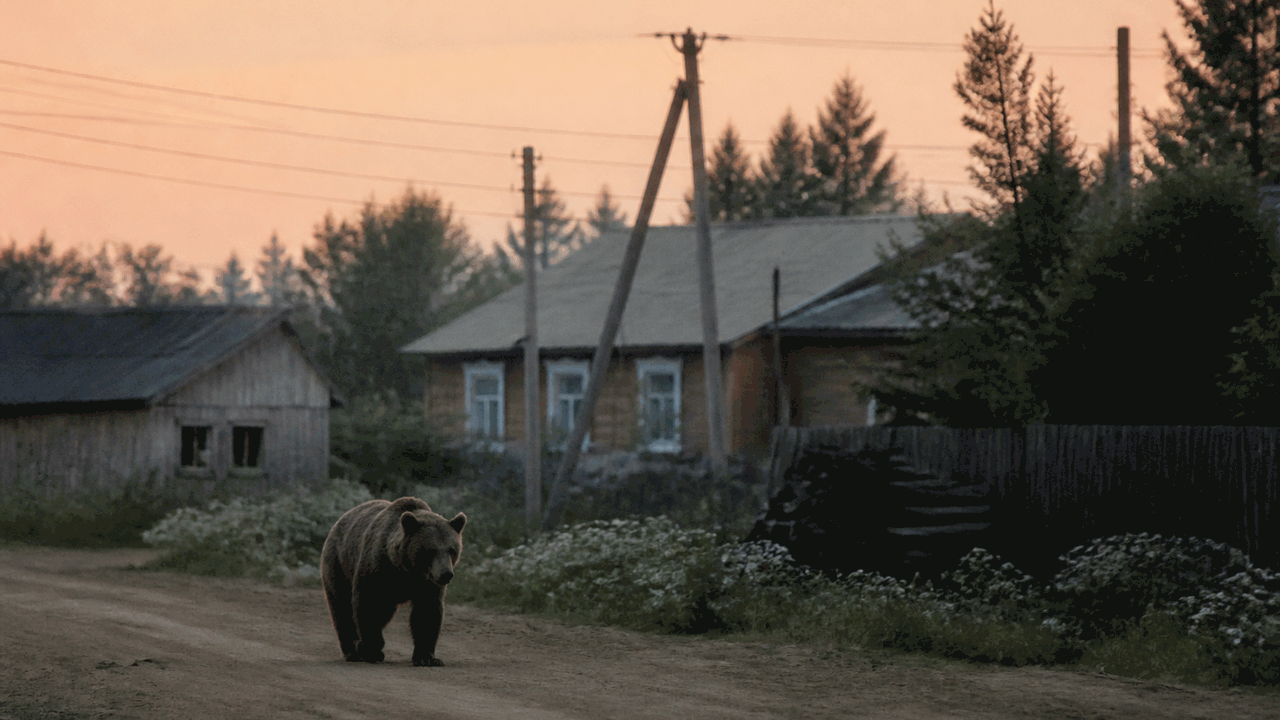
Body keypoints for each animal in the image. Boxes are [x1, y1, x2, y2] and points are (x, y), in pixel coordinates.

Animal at [320, 497, 466, 667]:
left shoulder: (427, 584)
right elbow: (368, 603)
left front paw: (428, 658)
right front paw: (371, 650)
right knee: (341, 607)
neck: (406, 570)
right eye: (431, 551)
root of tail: (339, 521)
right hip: (338, 563)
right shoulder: (377, 569)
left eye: (452, 550)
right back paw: (352, 651)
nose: (446, 574)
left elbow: (427, 612)